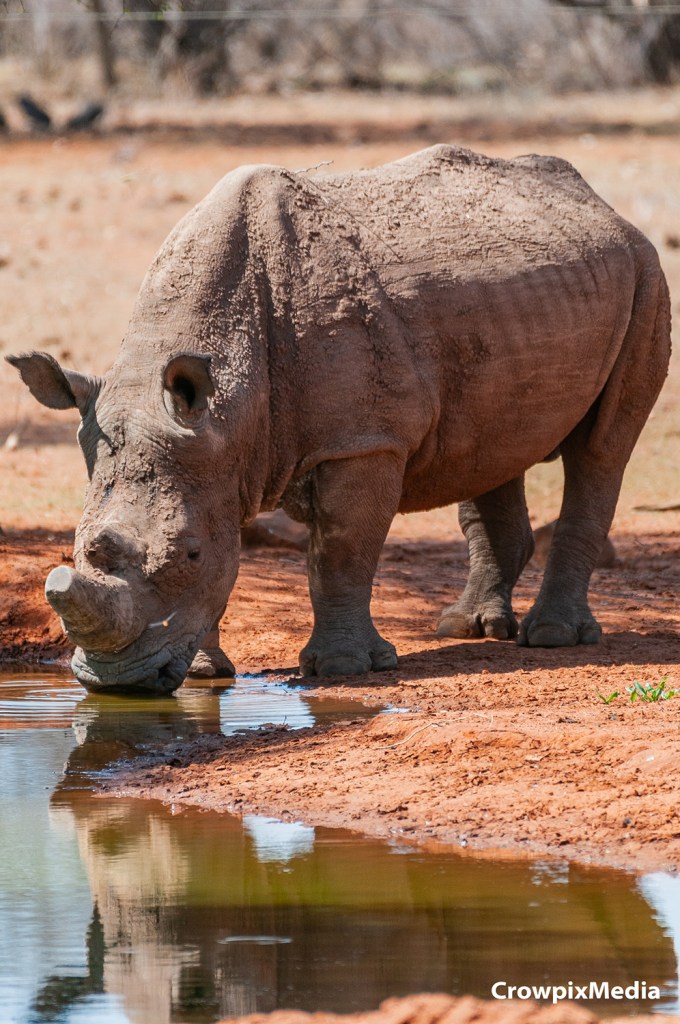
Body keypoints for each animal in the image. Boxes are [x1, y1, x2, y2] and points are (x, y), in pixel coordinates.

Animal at [8, 145, 671, 694]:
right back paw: (466, 628)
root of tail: (603, 206)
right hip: (522, 296)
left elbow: (341, 551)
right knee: (492, 448)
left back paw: (552, 637)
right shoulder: (214, 446)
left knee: (601, 450)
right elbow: (236, 547)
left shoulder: (362, 441)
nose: (116, 683)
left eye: (189, 554)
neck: (229, 404)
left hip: (646, 272)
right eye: (79, 547)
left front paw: (342, 669)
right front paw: (203, 673)